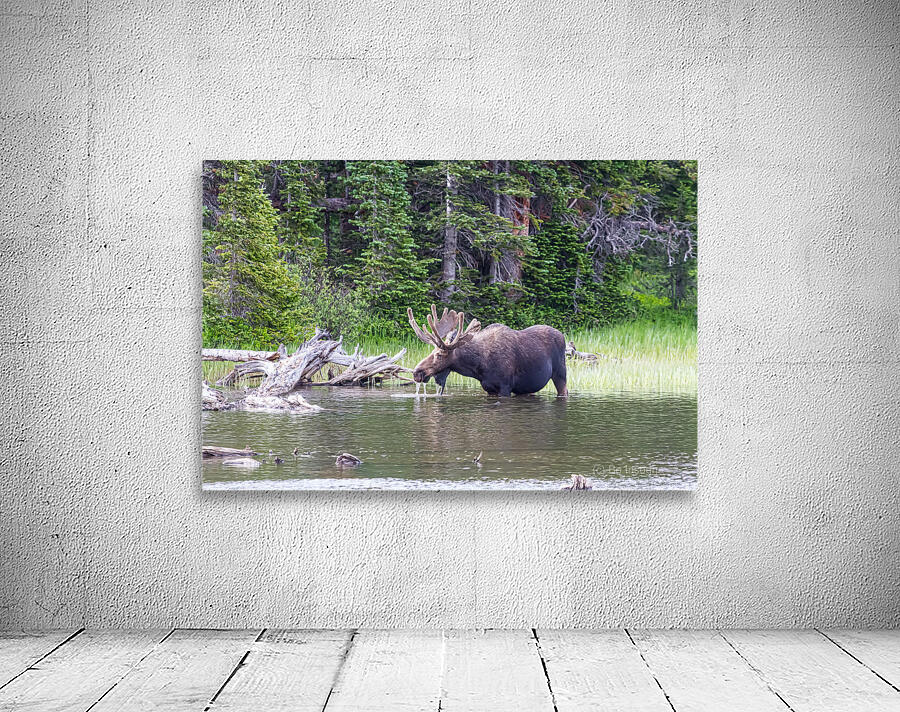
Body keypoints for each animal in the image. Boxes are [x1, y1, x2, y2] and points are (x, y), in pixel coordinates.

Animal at [407, 305, 568, 397]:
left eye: (439, 355)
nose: (416, 373)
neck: (478, 368)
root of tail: (563, 335)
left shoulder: (505, 387)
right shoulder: (489, 388)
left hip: (560, 373)